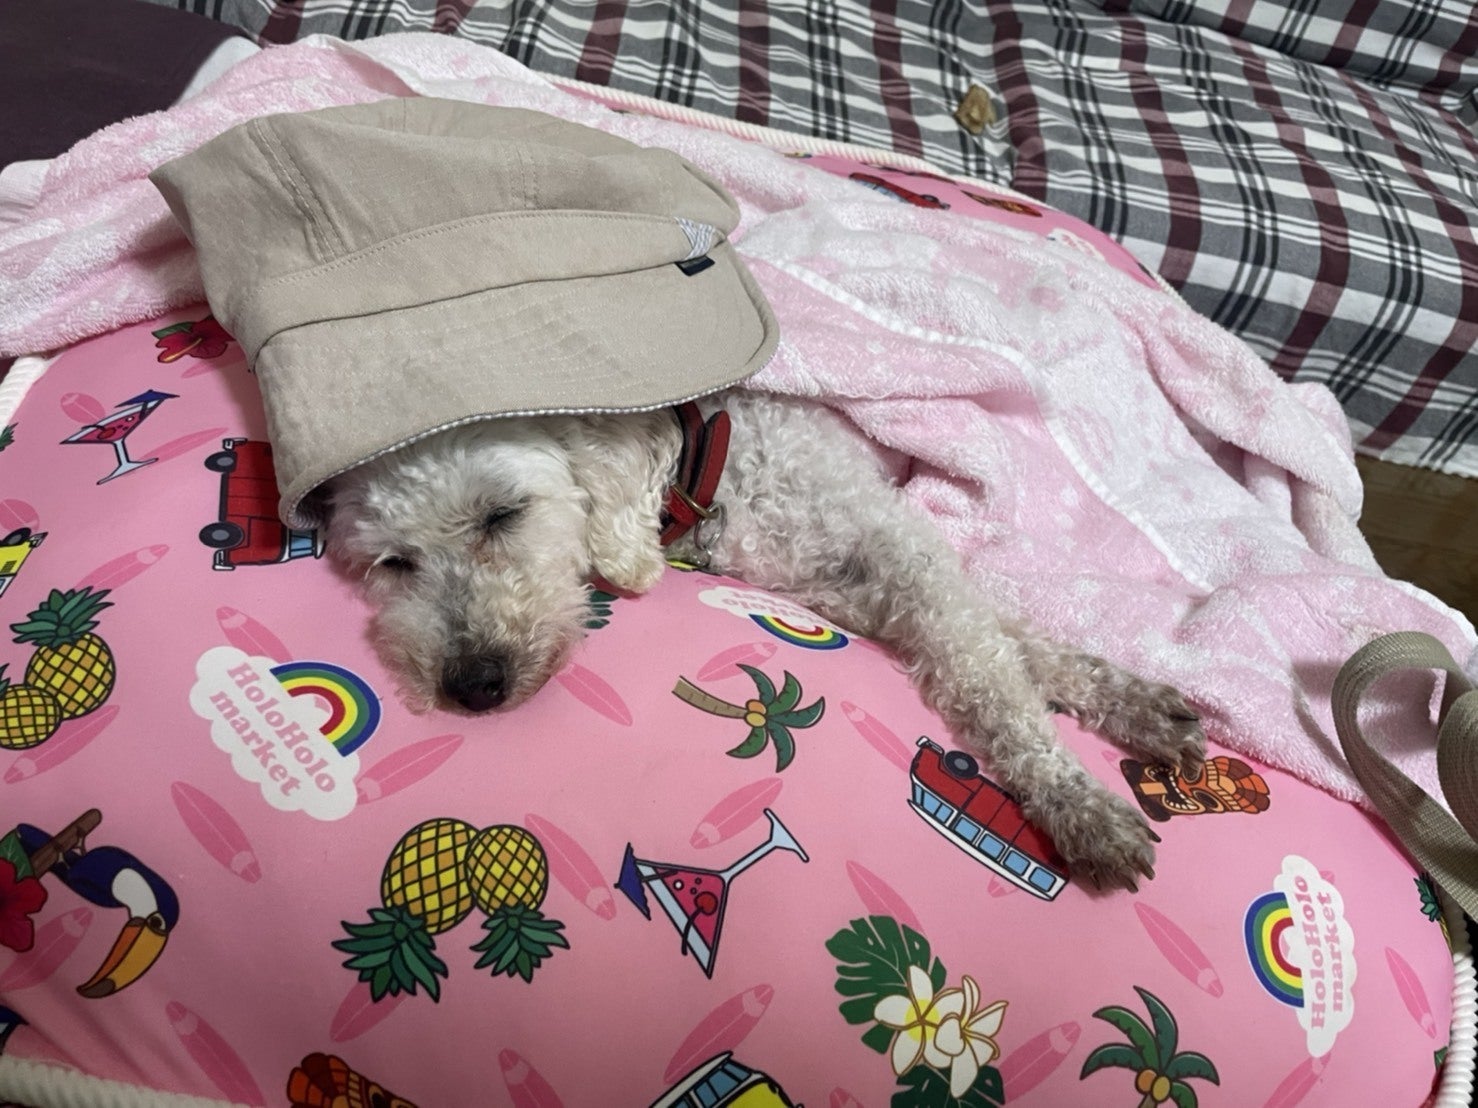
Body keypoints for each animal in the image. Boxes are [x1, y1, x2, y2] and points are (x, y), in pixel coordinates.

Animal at [321, 391, 1206, 891]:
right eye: (395, 563)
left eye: (503, 514)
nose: (473, 684)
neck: (713, 464)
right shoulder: (851, 585)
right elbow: (999, 640)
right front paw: (1117, 711)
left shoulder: (889, 541)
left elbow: (989, 664)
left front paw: (1079, 797)